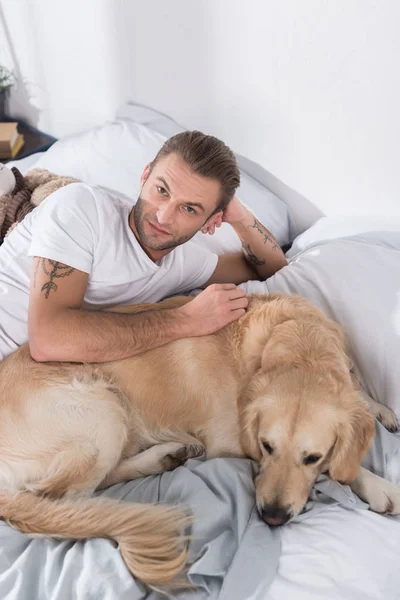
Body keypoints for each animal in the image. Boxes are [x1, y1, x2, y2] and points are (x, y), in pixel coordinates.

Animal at [0, 292, 396, 588]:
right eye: (266, 446)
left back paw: (166, 455)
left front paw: (378, 409)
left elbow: (356, 394)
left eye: (311, 456)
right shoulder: (229, 439)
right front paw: (378, 485)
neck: (296, 336)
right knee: (72, 495)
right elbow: (339, 465)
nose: (272, 516)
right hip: (101, 408)